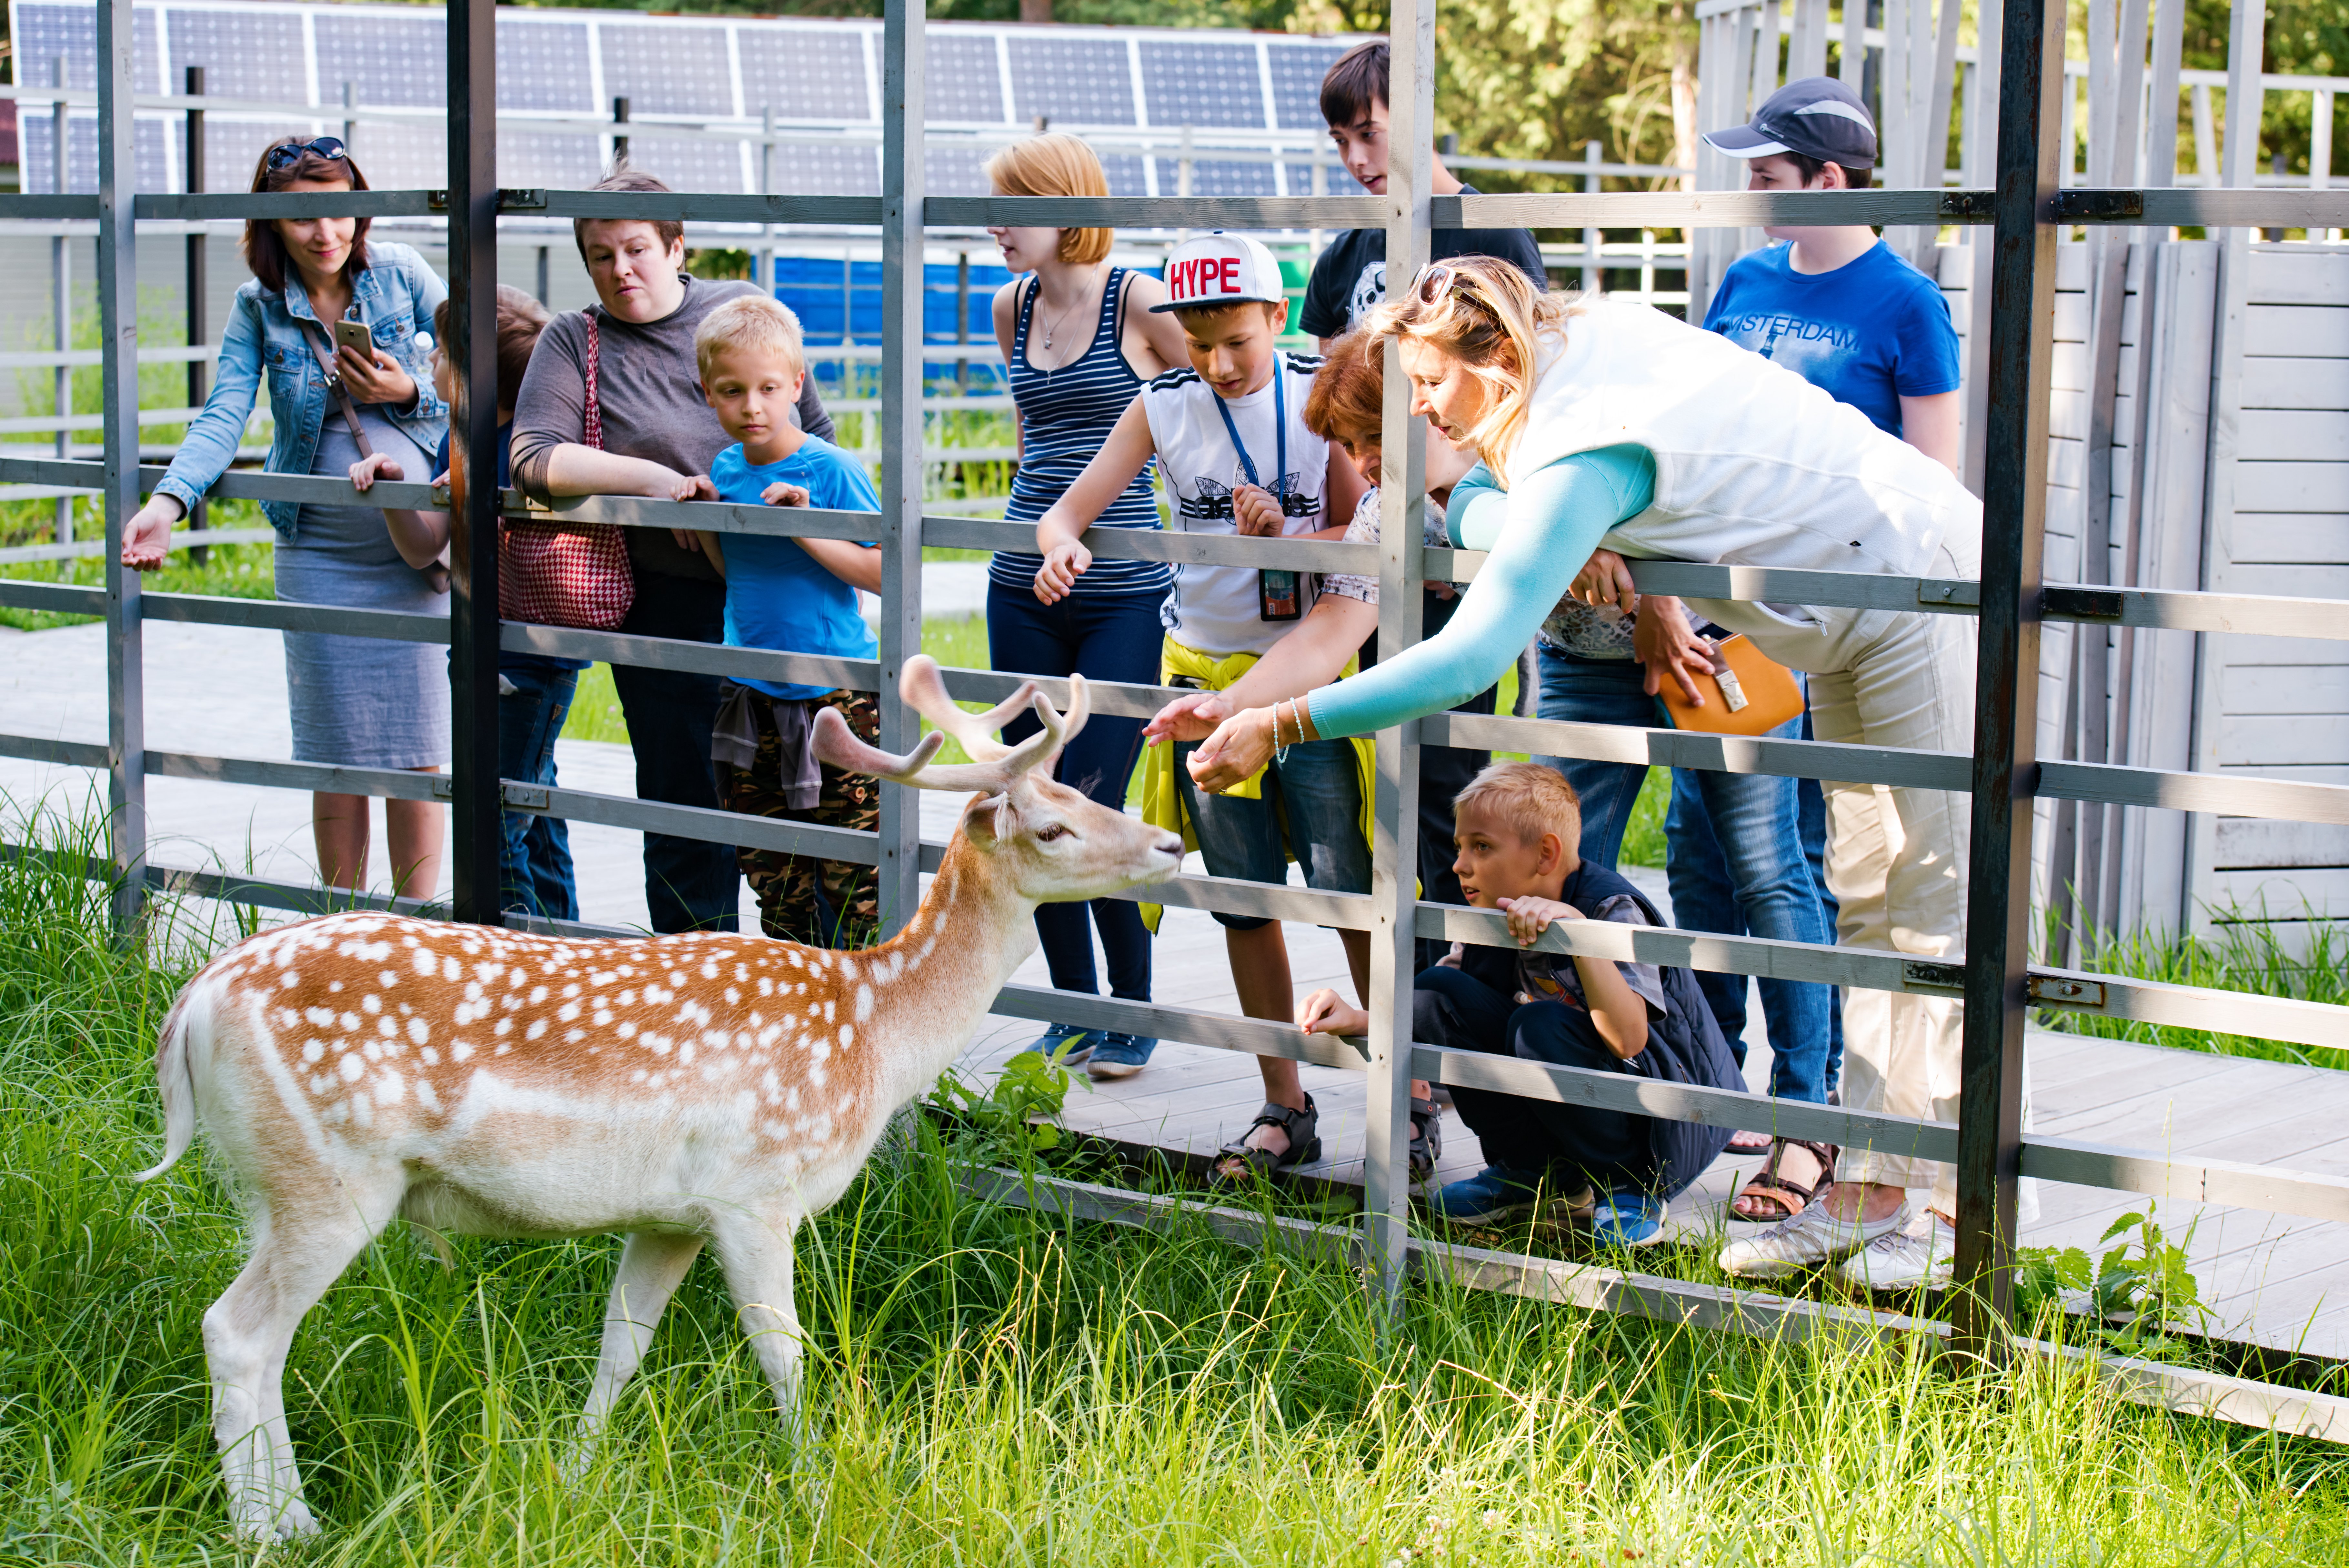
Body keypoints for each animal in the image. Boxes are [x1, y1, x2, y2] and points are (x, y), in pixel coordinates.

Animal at [137, 658, 1184, 1542]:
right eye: (1051, 826)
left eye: (1087, 794)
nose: (1171, 840)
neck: (875, 1033)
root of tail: (191, 1008)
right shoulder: (755, 1191)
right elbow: (786, 1352)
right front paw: (820, 1493)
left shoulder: (671, 1215)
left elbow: (621, 1345)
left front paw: (573, 1476)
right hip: (329, 1173)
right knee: (239, 1332)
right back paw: (279, 1528)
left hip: (270, 1184)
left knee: (256, 1333)